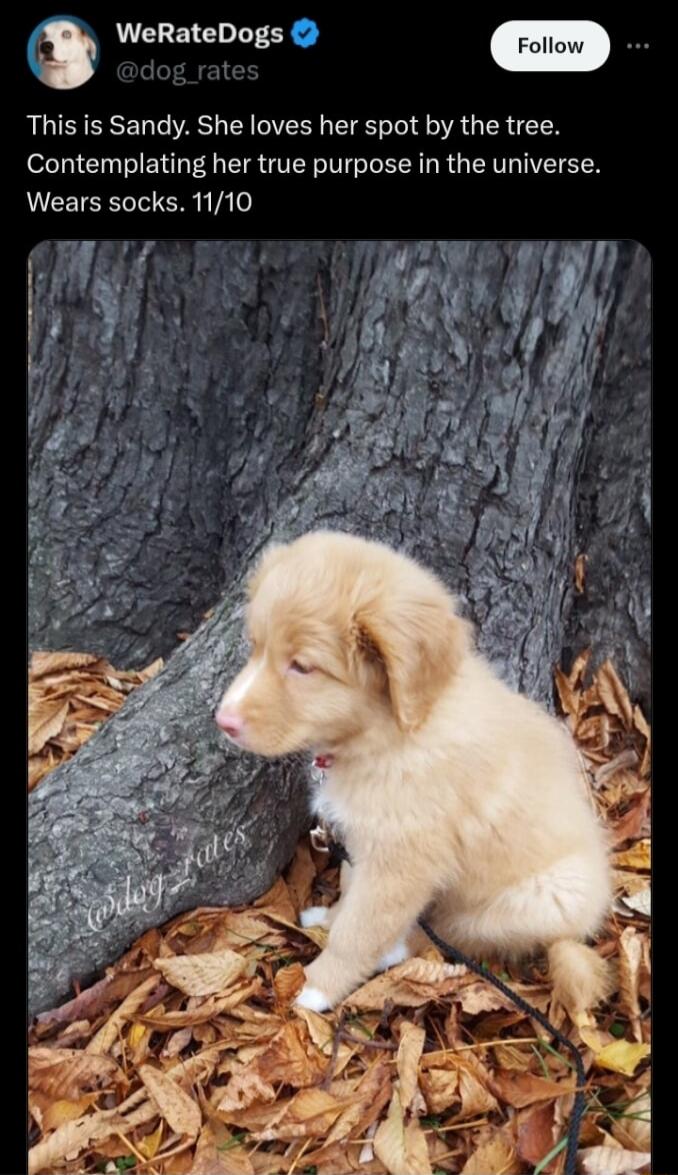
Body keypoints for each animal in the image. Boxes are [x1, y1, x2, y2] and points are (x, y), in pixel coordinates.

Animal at [213, 538, 611, 1015]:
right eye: (255, 647)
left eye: (303, 667)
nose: (223, 720)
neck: (392, 735)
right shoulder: (363, 843)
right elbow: (349, 890)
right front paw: (329, 917)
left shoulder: (400, 866)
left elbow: (358, 931)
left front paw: (317, 986)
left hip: (538, 899)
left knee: (455, 933)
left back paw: (397, 950)